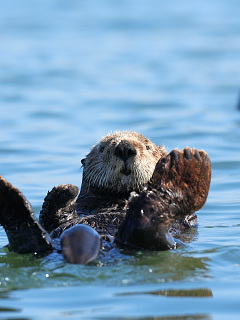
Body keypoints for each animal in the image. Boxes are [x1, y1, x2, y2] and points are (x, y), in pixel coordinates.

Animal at [0, 131, 210, 264]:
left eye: (148, 146)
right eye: (102, 148)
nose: (124, 148)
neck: (117, 201)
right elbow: (52, 218)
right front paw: (64, 191)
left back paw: (185, 169)